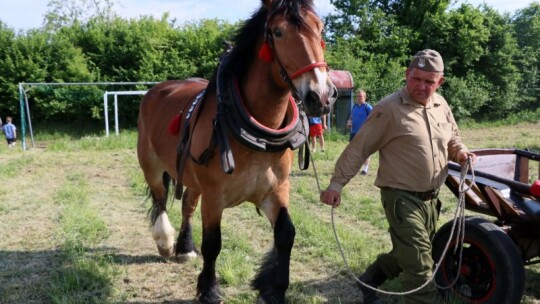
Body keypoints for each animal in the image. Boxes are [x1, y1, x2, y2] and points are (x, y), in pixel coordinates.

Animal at [137, 0, 336, 302]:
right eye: (277, 32)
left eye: (320, 28)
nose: (321, 96)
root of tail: (159, 89)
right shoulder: (214, 197)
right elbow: (213, 244)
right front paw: (209, 290)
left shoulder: (276, 190)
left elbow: (286, 234)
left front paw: (274, 288)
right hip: (151, 166)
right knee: (160, 200)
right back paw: (165, 241)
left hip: (193, 179)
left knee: (187, 205)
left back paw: (185, 247)